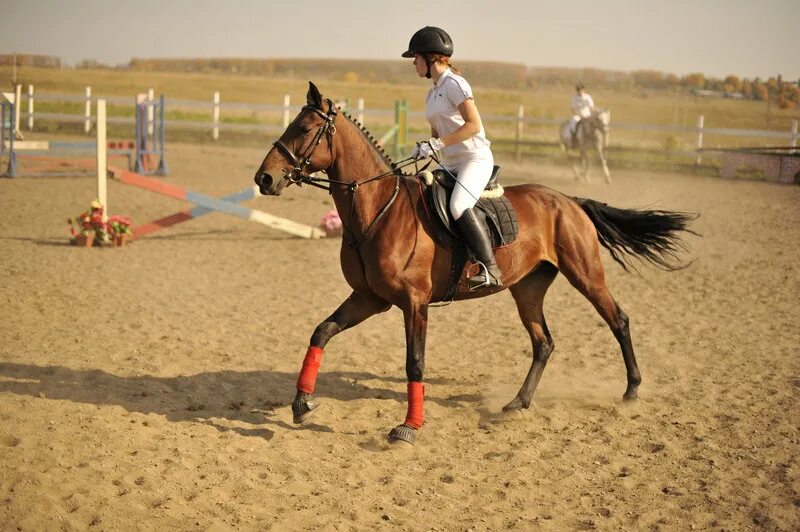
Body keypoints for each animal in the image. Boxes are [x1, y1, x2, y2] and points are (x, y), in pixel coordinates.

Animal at [255, 82, 692, 444]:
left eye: (305, 129)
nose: (264, 179)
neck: (379, 210)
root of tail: (569, 200)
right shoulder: (370, 298)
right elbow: (321, 332)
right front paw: (302, 403)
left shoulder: (414, 303)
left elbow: (415, 364)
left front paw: (408, 428)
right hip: (527, 287)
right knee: (544, 343)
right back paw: (518, 402)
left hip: (586, 274)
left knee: (618, 320)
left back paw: (632, 391)